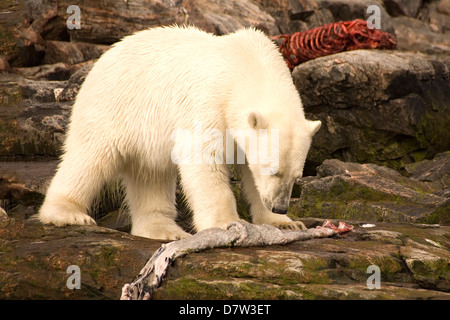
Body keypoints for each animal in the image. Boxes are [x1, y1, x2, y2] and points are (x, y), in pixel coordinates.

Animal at [37, 25, 320, 240]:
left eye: (297, 176)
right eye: (274, 170)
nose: (280, 207)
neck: (247, 64)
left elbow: (250, 172)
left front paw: (284, 222)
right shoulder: (209, 103)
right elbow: (203, 158)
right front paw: (227, 224)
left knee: (151, 174)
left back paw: (164, 231)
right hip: (113, 108)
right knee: (90, 158)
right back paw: (67, 214)